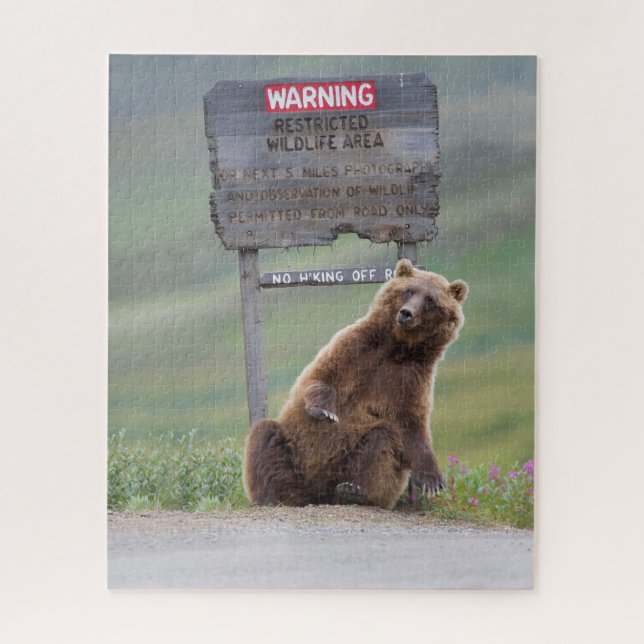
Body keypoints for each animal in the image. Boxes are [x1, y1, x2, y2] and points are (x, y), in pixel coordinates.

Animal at [243, 258, 468, 510]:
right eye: (408, 290)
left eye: (431, 300)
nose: (406, 313)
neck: (396, 348)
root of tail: (316, 496)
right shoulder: (356, 347)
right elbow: (319, 376)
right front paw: (325, 410)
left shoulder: (411, 377)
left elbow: (412, 425)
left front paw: (432, 480)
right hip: (294, 452)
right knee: (265, 437)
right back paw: (270, 497)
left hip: (345, 463)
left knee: (380, 440)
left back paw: (354, 490)